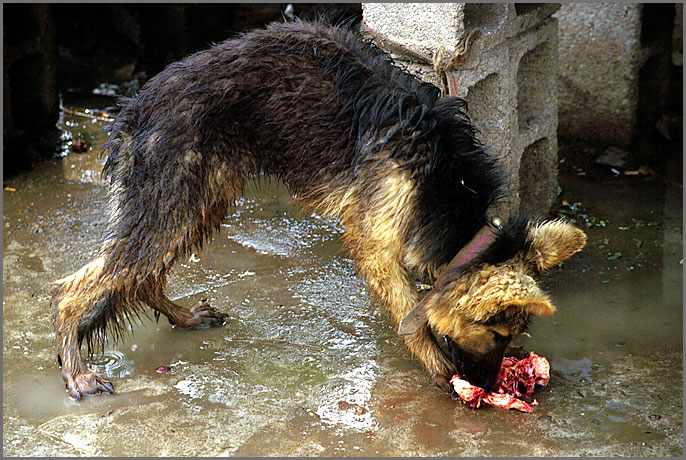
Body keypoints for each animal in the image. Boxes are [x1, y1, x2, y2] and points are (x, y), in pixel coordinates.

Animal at [49, 21, 584, 398]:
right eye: (494, 334)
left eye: (511, 337)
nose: (490, 387)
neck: (445, 179)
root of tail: (132, 111)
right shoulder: (375, 242)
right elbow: (408, 309)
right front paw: (437, 366)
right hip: (171, 204)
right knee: (74, 290)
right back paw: (77, 372)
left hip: (199, 204)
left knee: (140, 277)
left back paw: (182, 318)